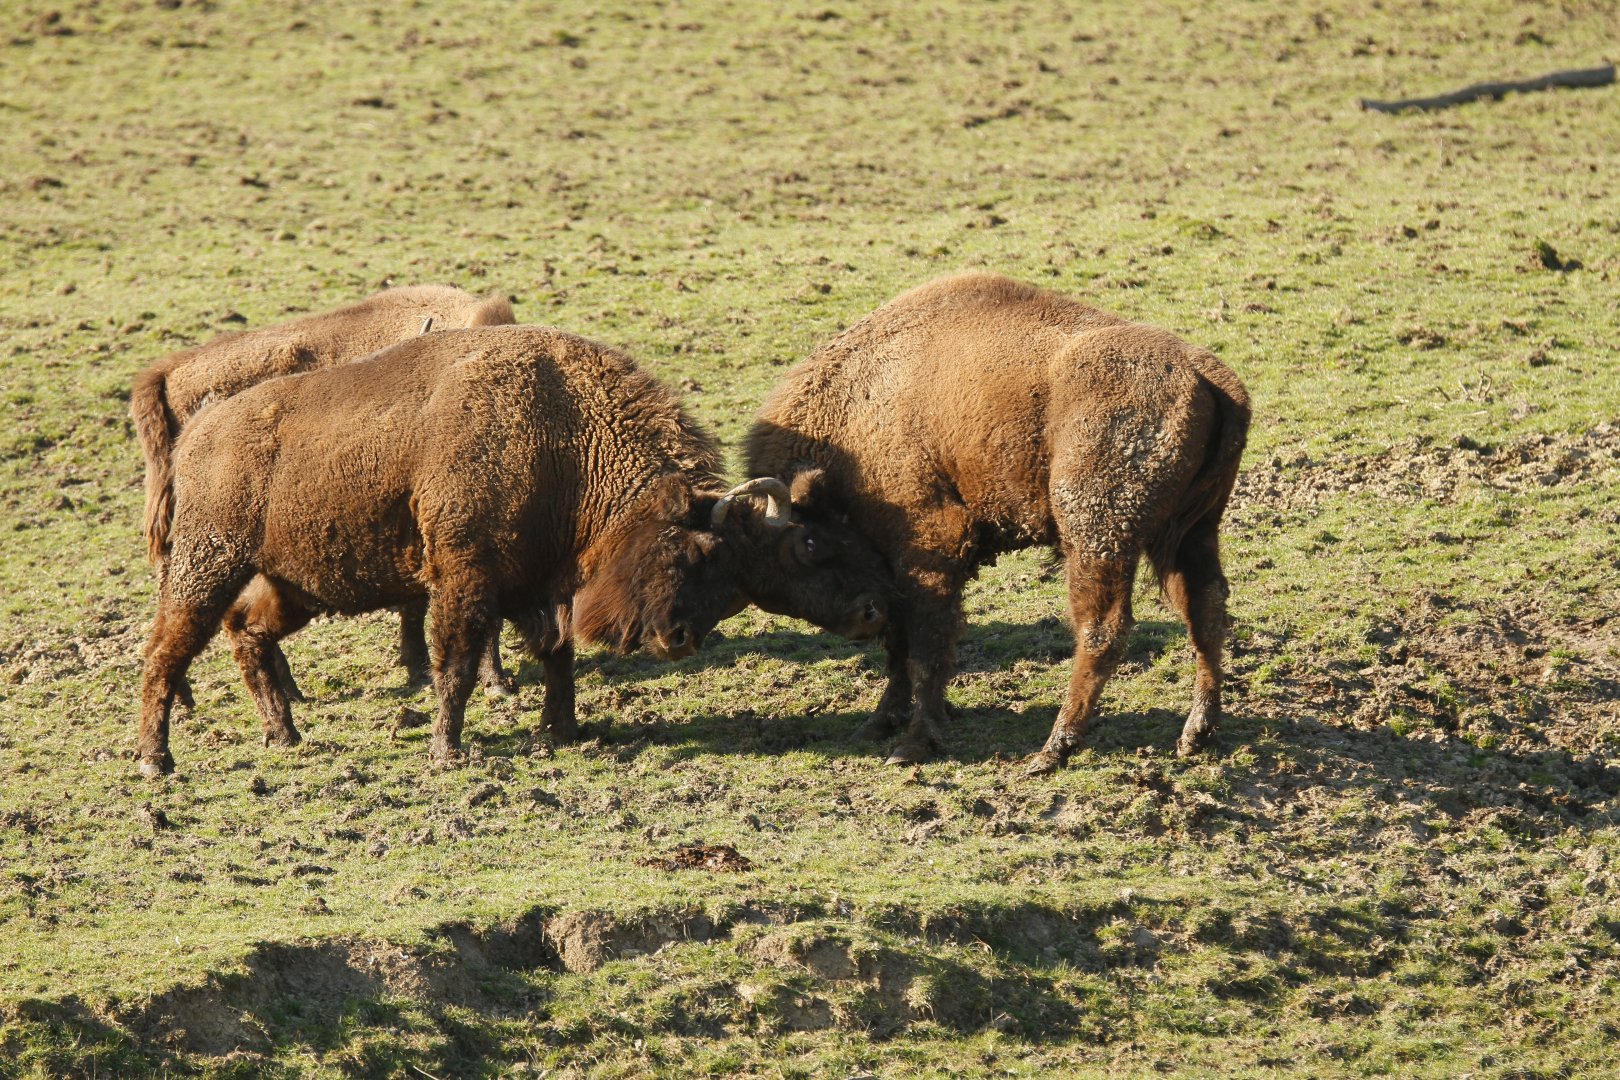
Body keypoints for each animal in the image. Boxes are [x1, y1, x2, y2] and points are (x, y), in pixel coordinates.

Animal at [137, 324, 890, 777]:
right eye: (691, 551)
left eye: (732, 576)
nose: (677, 640)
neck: (568, 437)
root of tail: (198, 431)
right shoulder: (464, 577)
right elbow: (459, 664)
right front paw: (448, 751)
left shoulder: (539, 586)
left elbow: (556, 655)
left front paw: (563, 729)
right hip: (210, 563)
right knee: (167, 649)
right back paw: (157, 761)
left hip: (293, 586)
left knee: (247, 634)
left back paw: (284, 735)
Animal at [746, 272, 1250, 772]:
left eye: (807, 546)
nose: (860, 620)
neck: (857, 410)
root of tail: (1203, 372)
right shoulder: (896, 574)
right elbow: (900, 646)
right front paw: (878, 723)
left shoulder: (932, 545)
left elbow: (926, 647)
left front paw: (914, 742)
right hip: (1192, 532)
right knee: (1205, 609)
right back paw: (1196, 733)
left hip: (1096, 536)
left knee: (1102, 629)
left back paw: (1053, 748)